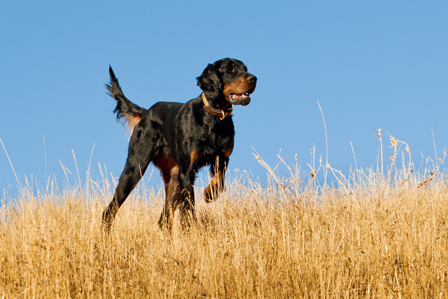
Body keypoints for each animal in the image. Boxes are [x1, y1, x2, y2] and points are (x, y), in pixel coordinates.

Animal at [101, 58, 256, 232]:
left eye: (245, 69)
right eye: (230, 69)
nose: (254, 79)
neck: (213, 119)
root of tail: (146, 112)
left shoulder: (222, 159)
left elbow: (220, 181)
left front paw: (210, 194)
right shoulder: (187, 171)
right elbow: (188, 206)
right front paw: (190, 231)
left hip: (173, 176)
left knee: (164, 219)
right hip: (135, 168)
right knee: (109, 210)